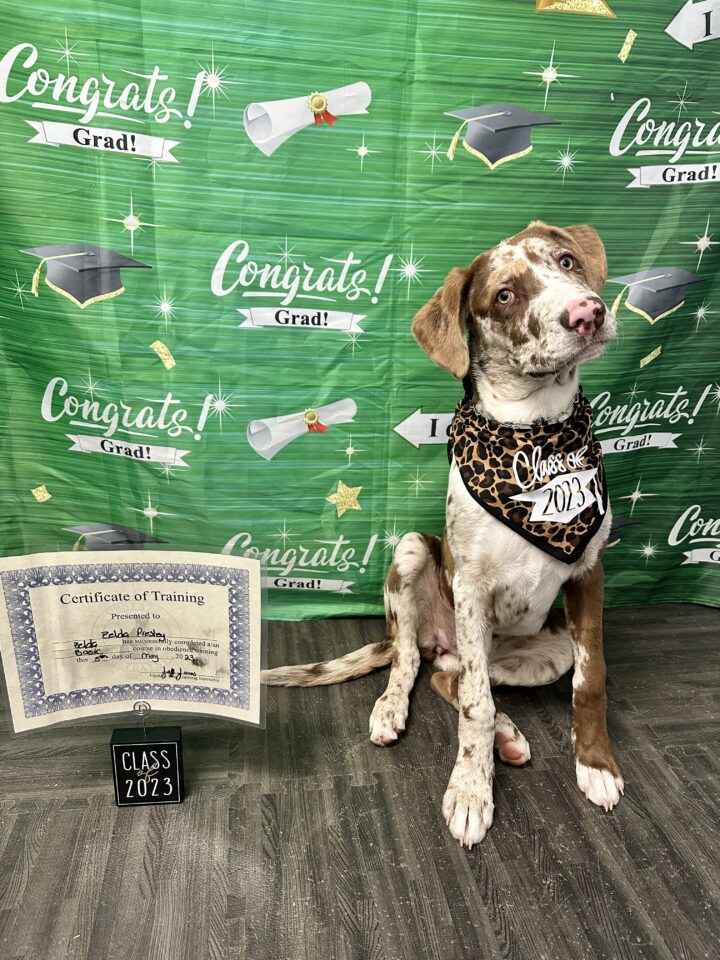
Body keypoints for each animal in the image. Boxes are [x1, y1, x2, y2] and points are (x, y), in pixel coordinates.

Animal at [264, 223, 624, 848]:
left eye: (566, 261)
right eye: (503, 296)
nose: (587, 312)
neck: (537, 433)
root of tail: (442, 642)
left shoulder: (588, 572)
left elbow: (590, 677)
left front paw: (595, 764)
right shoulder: (473, 588)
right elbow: (475, 706)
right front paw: (471, 790)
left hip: (541, 649)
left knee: (449, 677)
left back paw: (507, 733)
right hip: (412, 553)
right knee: (415, 663)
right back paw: (397, 709)